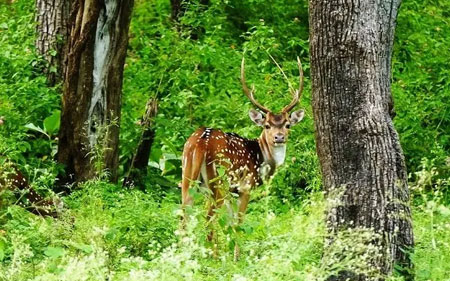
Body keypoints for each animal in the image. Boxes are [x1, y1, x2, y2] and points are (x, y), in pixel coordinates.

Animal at [181, 57, 304, 252]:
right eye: (267, 125)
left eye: (287, 124)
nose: (279, 137)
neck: (261, 158)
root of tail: (200, 142)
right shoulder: (245, 186)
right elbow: (239, 223)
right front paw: (237, 254)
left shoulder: (233, 193)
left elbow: (231, 223)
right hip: (218, 180)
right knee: (209, 218)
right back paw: (212, 255)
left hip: (187, 174)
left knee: (184, 215)